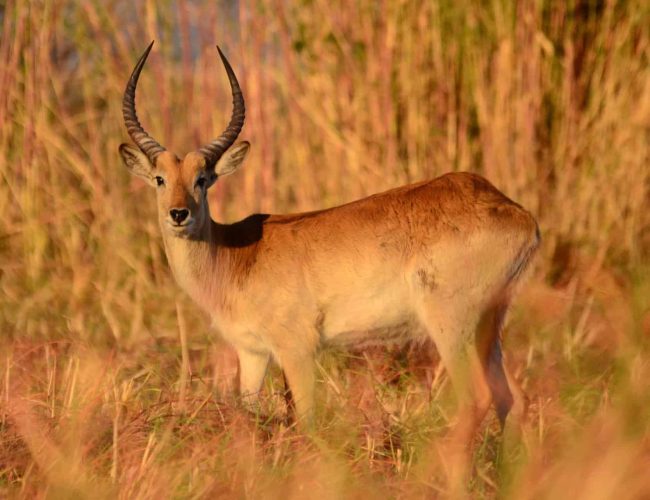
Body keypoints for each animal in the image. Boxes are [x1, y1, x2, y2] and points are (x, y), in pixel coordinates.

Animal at [120, 43, 536, 456]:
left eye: (203, 179)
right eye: (160, 178)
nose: (179, 214)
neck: (237, 256)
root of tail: (518, 213)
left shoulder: (297, 349)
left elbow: (306, 420)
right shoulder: (252, 353)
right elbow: (248, 413)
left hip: (451, 325)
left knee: (478, 398)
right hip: (488, 326)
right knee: (512, 400)